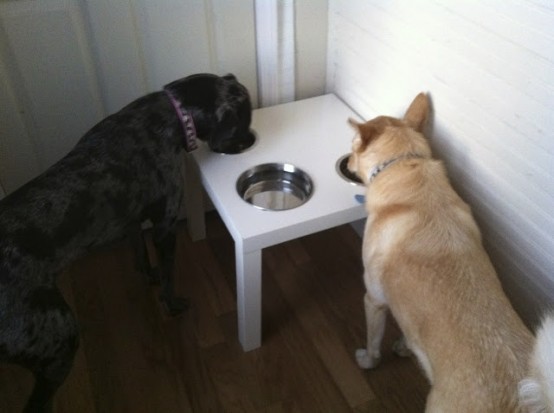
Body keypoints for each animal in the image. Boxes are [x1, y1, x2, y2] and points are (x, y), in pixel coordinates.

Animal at [0, 72, 252, 410]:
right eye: (243, 122)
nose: (251, 140)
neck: (173, 111)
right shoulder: (166, 225)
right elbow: (169, 275)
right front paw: (172, 304)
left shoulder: (133, 219)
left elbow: (139, 255)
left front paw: (148, 275)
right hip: (59, 336)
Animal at [348, 93, 548, 412]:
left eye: (352, 147)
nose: (347, 162)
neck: (405, 164)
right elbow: (409, 332)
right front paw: (405, 347)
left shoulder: (375, 299)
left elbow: (373, 343)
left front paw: (368, 361)